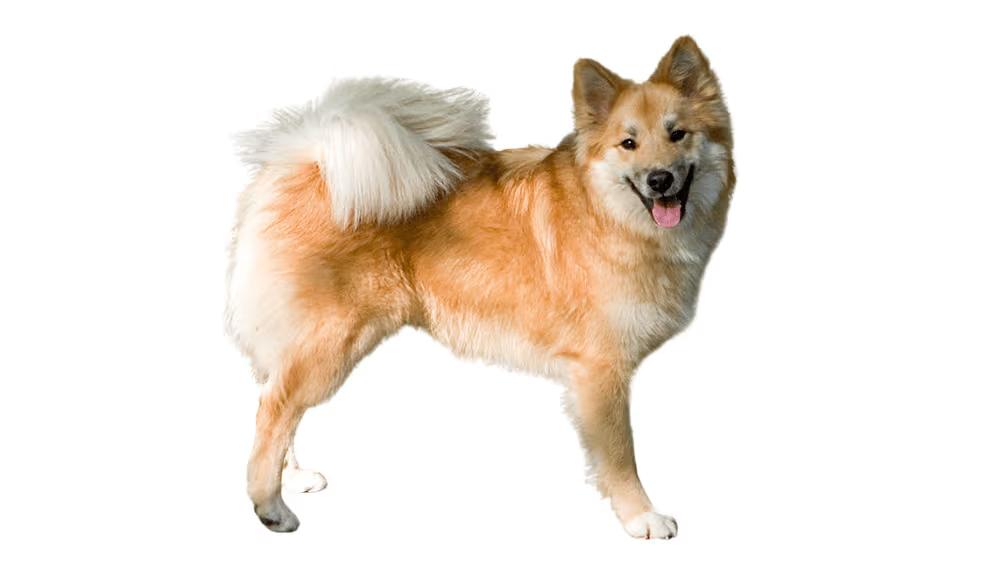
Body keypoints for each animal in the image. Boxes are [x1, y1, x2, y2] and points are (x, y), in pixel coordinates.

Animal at [227, 35, 734, 539]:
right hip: (332, 339)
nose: (660, 179)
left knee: (275, 398)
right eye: (628, 143)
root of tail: (308, 160)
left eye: (678, 134)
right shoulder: (600, 370)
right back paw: (271, 507)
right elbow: (620, 454)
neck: (605, 212)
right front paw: (640, 516)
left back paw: (294, 476)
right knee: (274, 407)